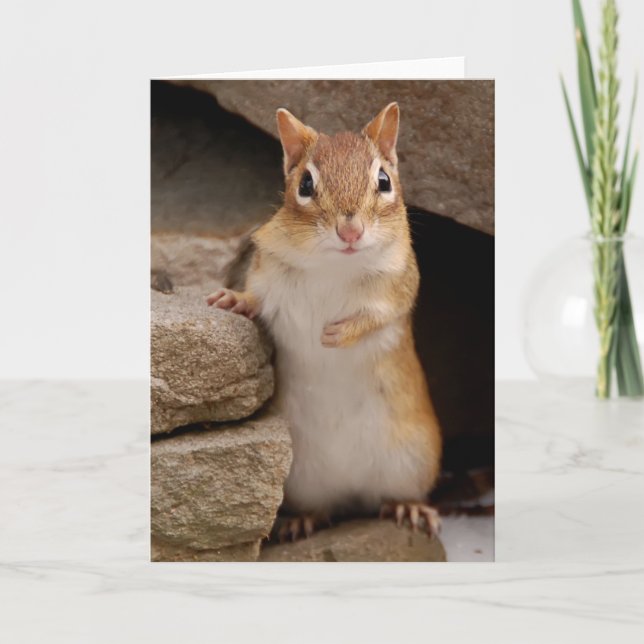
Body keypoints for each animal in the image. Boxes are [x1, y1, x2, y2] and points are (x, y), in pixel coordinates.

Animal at [207, 103, 442, 540]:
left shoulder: (397, 290)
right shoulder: (268, 275)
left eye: (383, 180)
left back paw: (408, 508)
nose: (350, 231)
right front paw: (231, 298)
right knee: (321, 507)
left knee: (393, 496)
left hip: (412, 461)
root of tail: (352, 493)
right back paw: (303, 520)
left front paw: (338, 334)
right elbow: (256, 297)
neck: (334, 265)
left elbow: (376, 317)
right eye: (305, 184)